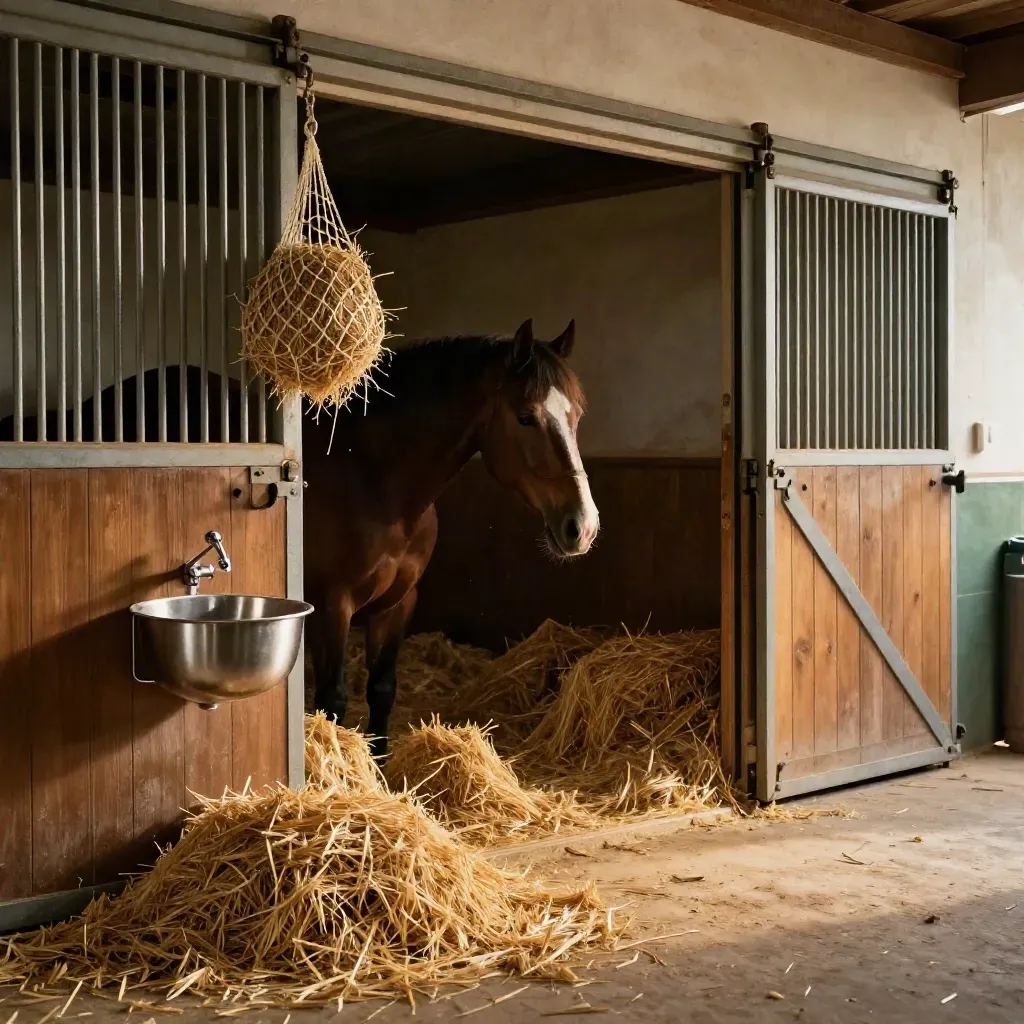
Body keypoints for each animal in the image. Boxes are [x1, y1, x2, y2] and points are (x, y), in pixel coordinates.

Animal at [303, 318, 599, 757]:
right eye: (525, 417)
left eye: (577, 415)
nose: (583, 525)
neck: (369, 476)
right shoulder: (331, 605)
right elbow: (332, 702)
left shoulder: (399, 602)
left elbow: (381, 689)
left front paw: (381, 762)